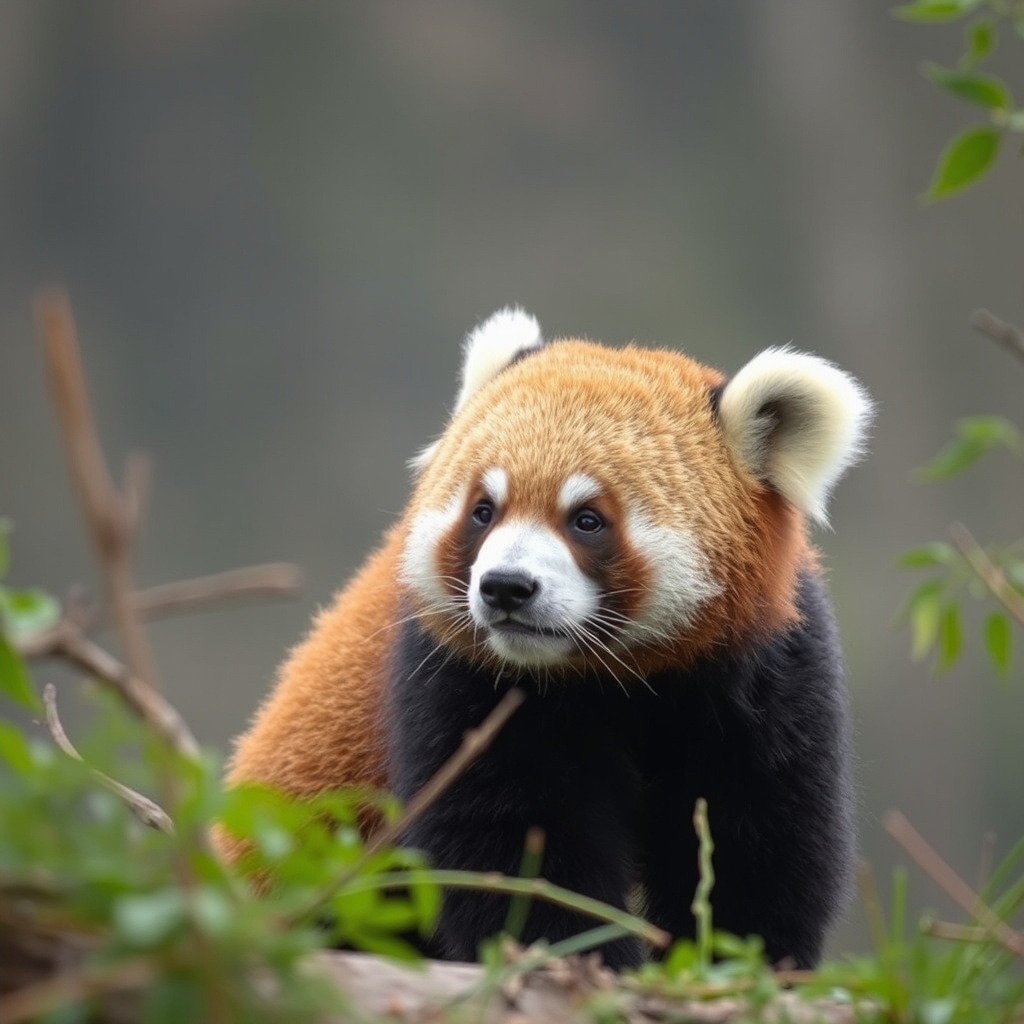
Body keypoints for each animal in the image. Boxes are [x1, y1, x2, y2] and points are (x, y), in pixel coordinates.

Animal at [216, 308, 872, 970]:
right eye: (484, 511)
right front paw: (579, 958)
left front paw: (741, 960)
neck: (619, 680)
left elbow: (758, 845)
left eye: (587, 520)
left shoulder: (766, 678)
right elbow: (517, 845)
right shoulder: (456, 681)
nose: (506, 588)